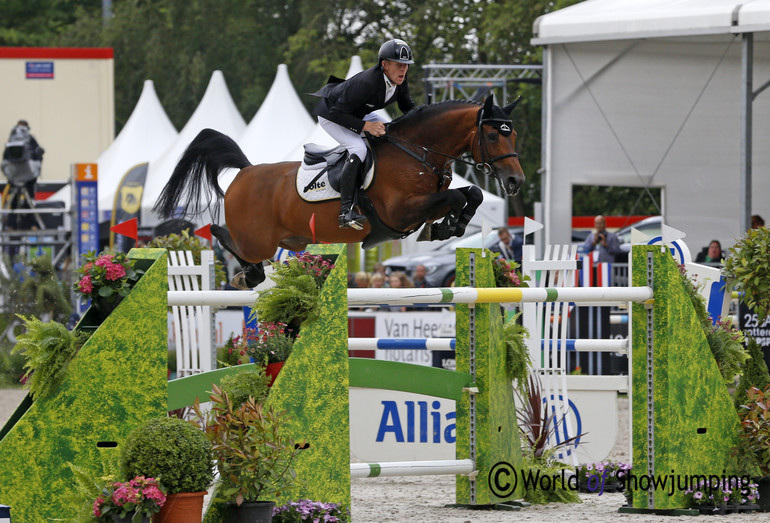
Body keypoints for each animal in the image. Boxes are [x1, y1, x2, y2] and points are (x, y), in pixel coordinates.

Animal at [152, 96, 520, 288]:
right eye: (492, 136)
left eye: (512, 135)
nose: (516, 181)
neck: (417, 151)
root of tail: (245, 171)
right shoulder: (401, 211)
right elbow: (458, 196)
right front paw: (447, 228)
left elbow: (472, 193)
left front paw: (450, 226)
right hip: (257, 241)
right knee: (220, 233)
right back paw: (251, 274)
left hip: (291, 240)